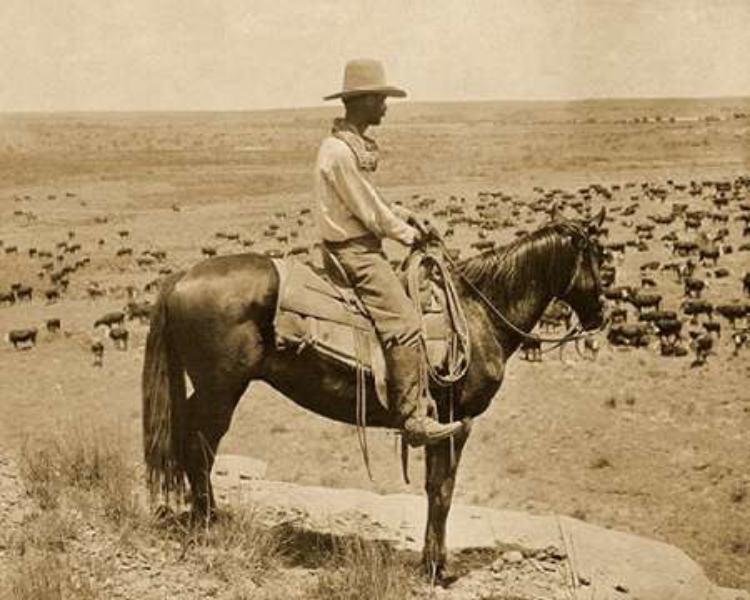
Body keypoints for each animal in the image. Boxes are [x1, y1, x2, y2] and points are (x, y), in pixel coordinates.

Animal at [142, 210, 612, 576]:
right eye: (598, 259)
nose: (599, 316)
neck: (479, 314)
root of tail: (182, 276)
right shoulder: (456, 421)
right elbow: (443, 490)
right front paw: (437, 568)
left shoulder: (442, 423)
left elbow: (434, 488)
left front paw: (430, 560)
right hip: (221, 389)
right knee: (199, 447)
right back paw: (209, 523)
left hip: (208, 389)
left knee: (187, 442)